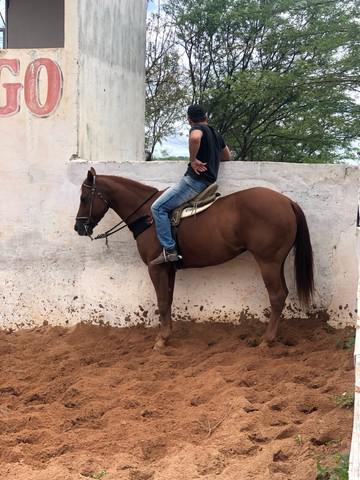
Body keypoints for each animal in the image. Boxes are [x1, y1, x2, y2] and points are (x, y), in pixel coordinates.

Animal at [75, 168, 312, 348]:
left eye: (84, 198)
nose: (79, 227)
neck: (148, 216)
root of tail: (287, 202)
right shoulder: (168, 268)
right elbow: (168, 299)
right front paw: (167, 334)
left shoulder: (155, 268)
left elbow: (162, 302)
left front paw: (161, 340)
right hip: (277, 262)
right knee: (282, 294)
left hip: (268, 262)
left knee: (277, 296)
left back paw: (266, 340)